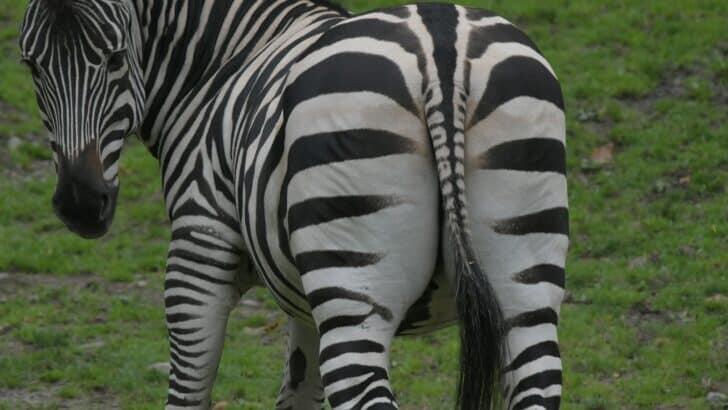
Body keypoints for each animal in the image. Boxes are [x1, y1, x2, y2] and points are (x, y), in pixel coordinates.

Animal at [19, 0, 568, 409]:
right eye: (30, 65)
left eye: (114, 58)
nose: (80, 204)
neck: (222, 66)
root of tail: (439, 47)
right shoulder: (303, 298)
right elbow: (297, 392)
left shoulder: (198, 250)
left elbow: (188, 390)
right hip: (523, 285)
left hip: (353, 287)